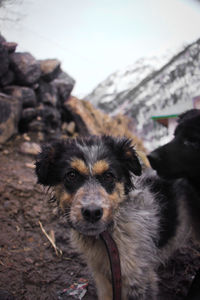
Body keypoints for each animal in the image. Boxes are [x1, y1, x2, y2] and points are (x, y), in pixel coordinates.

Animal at [35, 135, 194, 300]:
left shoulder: (139, 279)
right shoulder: (101, 274)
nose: (92, 212)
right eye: (71, 175)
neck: (109, 236)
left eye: (108, 176)